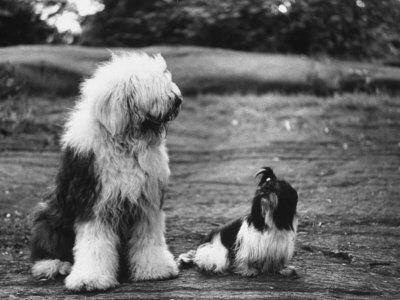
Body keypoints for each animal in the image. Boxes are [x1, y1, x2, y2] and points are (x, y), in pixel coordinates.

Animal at [30, 52, 183, 290]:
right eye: (151, 83)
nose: (177, 99)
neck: (125, 142)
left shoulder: (146, 204)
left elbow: (149, 239)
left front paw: (155, 268)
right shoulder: (94, 203)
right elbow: (95, 244)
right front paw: (90, 279)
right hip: (50, 216)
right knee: (47, 245)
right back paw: (53, 265)